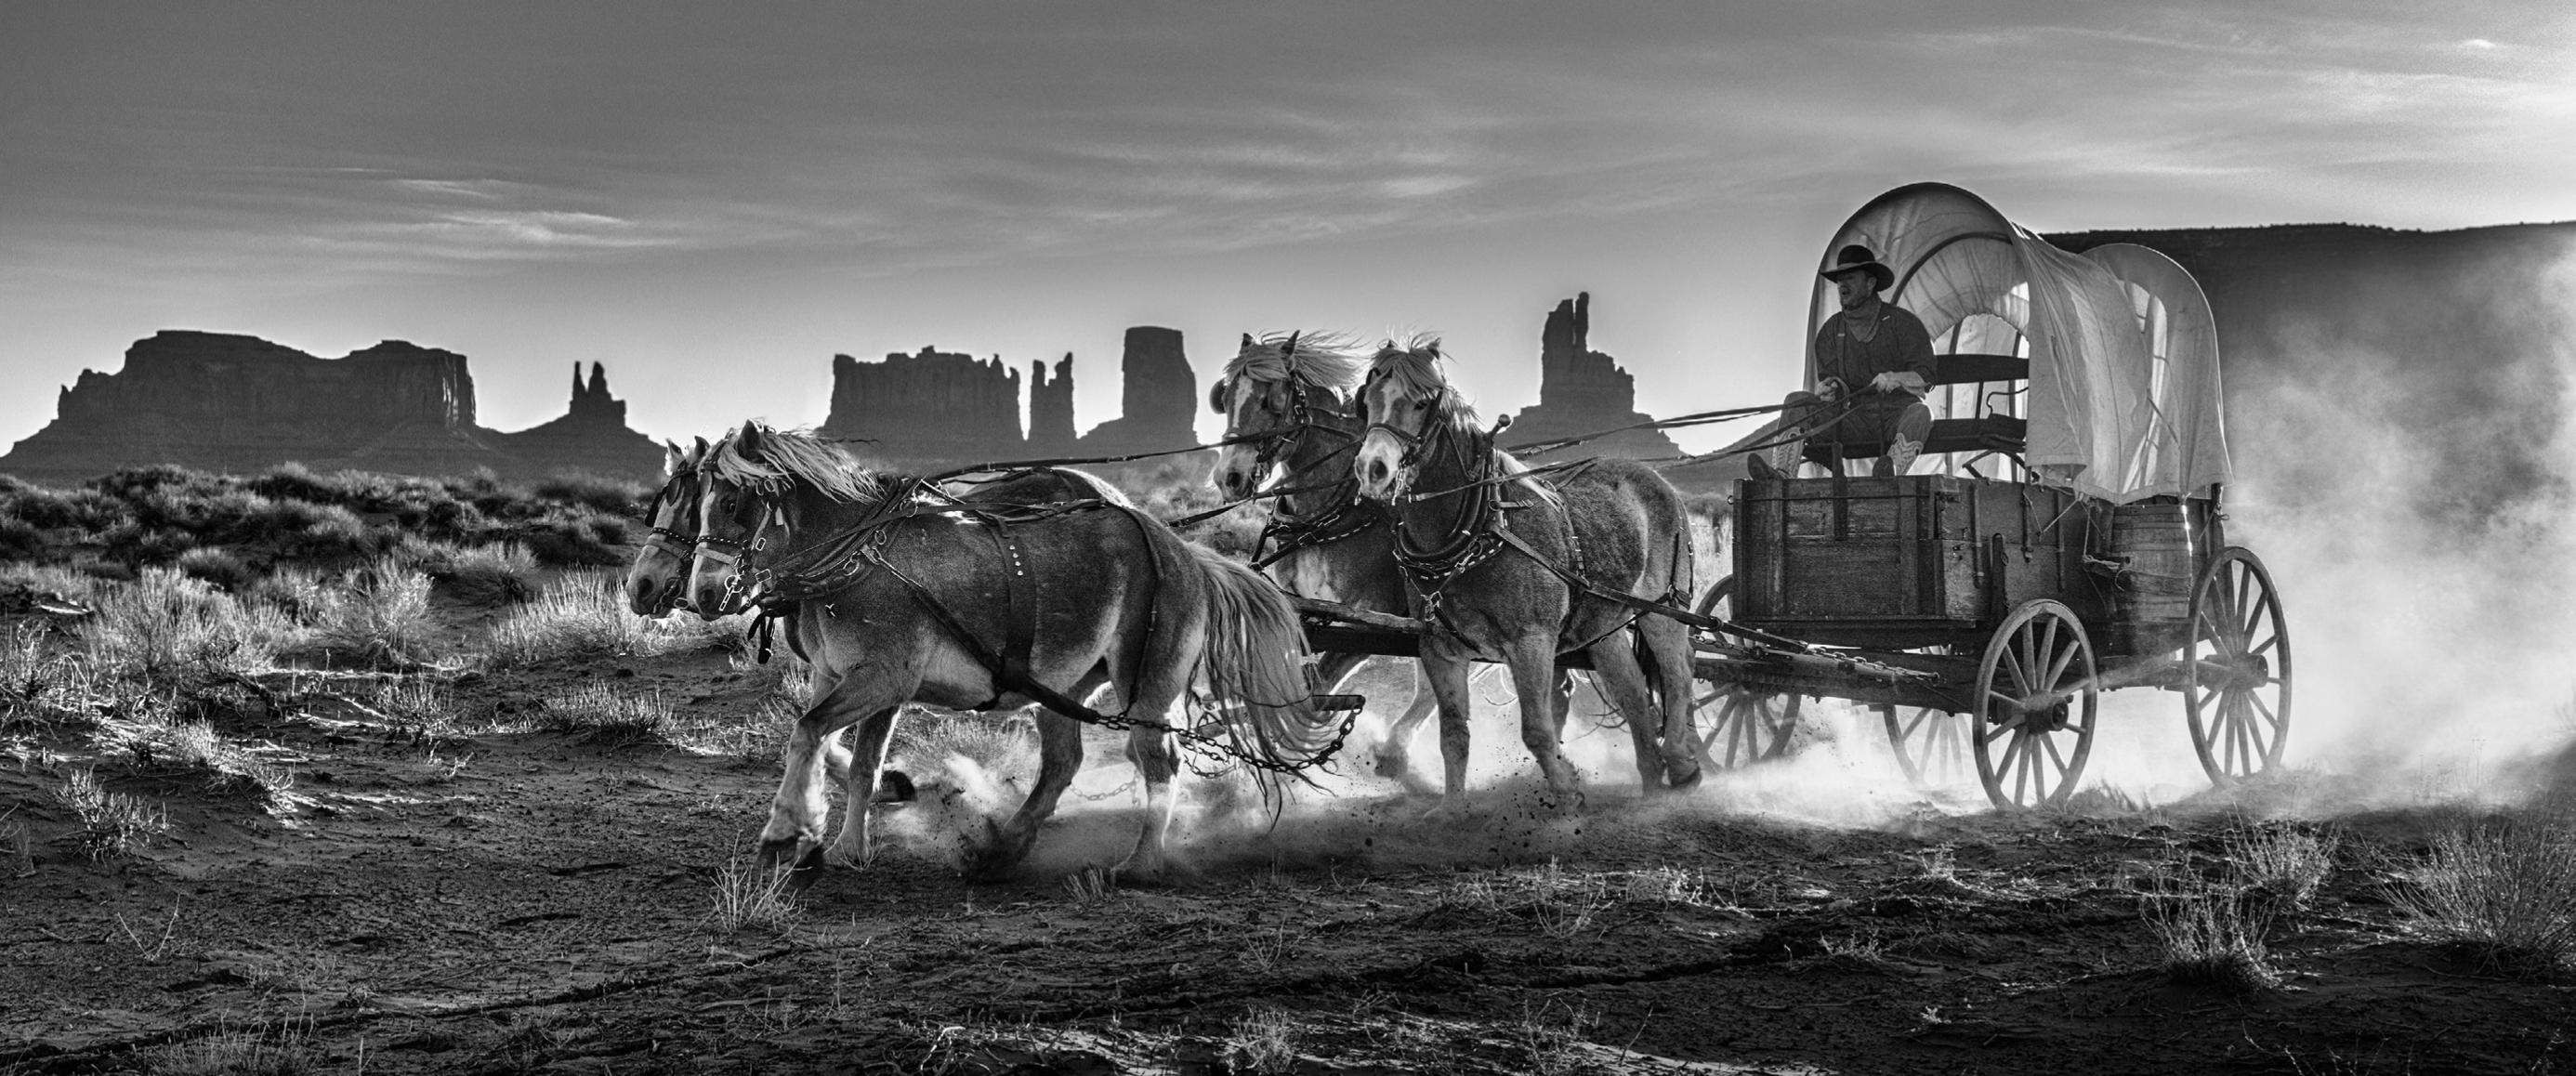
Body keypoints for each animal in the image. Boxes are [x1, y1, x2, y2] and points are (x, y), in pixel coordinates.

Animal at [675, 419, 1339, 880]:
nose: (703, 592)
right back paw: (1004, 849)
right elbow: (851, 758)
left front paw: (787, 833)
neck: (858, 559)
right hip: (1064, 687)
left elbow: (809, 734)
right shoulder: (849, 680)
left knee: (1158, 761)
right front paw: (850, 841)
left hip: (1145, 684)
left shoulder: (883, 678)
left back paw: (1141, 864)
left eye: (732, 502)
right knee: (1064, 762)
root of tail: (1187, 553)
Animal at [1349, 336, 1710, 807]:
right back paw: (1651, 785)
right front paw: (1450, 808)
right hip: (1604, 629)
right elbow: (1453, 734)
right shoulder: (1439, 648)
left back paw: (1682, 762)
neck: (1480, 527)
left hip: (1663, 608)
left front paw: (1568, 790)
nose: (1372, 468)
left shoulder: (1531, 642)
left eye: (1421, 402)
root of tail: (1658, 479)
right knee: (1635, 696)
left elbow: (1537, 731)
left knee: (1679, 673)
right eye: (1366, 399)